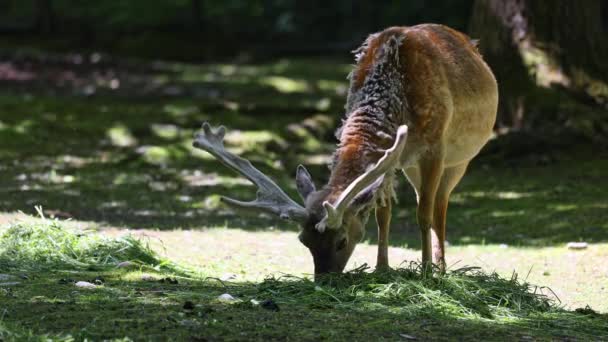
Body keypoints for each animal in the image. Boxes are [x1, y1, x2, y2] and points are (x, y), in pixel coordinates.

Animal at [192, 24, 496, 278]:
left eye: (342, 241)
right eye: (304, 241)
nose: (323, 280)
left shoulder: (434, 148)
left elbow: (424, 214)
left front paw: (425, 274)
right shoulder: (391, 159)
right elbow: (382, 214)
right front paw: (381, 269)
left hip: (459, 159)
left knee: (439, 205)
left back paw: (440, 268)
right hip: (411, 165)